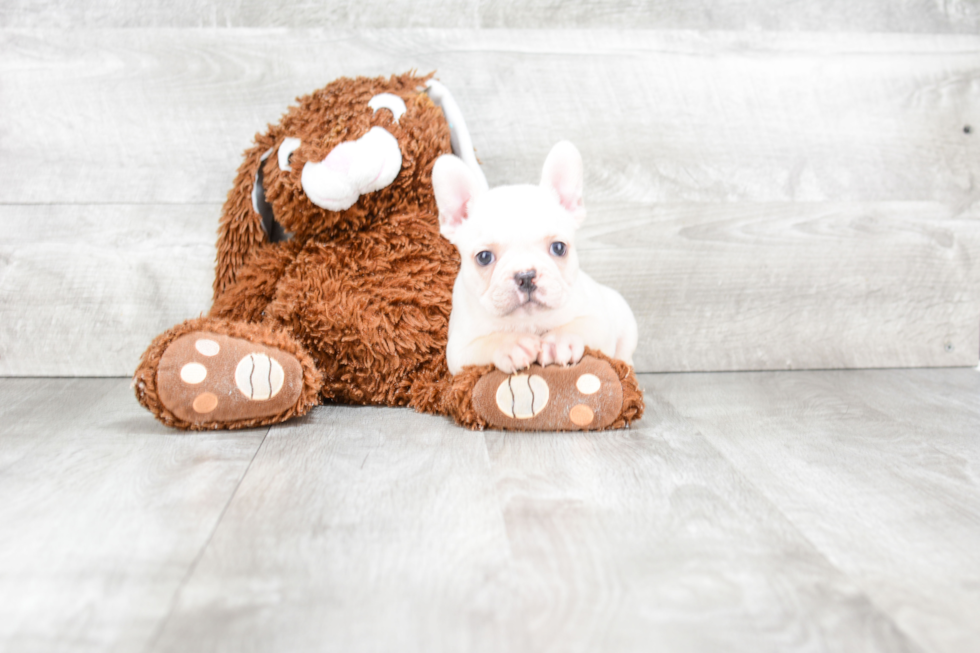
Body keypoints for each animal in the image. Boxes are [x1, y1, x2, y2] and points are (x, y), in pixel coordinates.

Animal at [432, 141, 640, 376]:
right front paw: (511, 344)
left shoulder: (598, 322)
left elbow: (580, 326)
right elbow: (486, 343)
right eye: (484, 257)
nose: (525, 275)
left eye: (559, 248)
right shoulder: (459, 350)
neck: (528, 321)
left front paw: (559, 341)